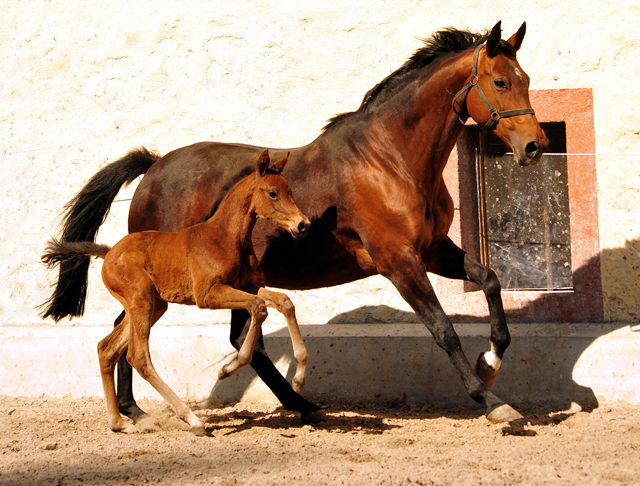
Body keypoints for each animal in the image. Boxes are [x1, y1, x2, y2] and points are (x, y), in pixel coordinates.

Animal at [41, 150, 312, 434]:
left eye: (290, 190)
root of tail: (108, 253)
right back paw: (191, 418)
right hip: (141, 301)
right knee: (137, 356)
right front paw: (227, 369)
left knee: (107, 348)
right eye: (272, 193)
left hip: (153, 305)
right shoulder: (207, 294)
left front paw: (298, 379)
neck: (224, 238)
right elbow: (258, 307)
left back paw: (119, 423)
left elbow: (284, 302)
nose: (302, 225)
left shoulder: (244, 286)